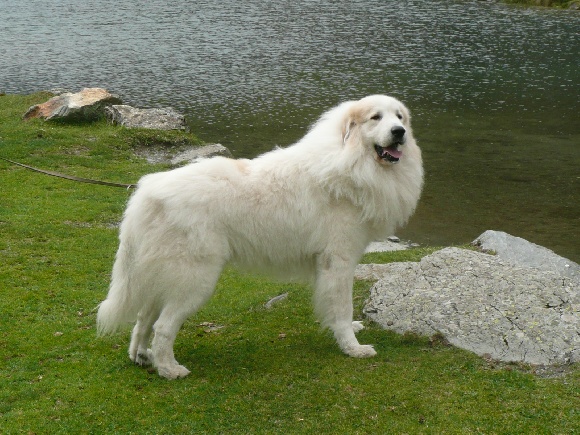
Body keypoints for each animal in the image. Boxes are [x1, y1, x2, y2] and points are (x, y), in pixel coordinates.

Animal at [96, 94, 422, 378]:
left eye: (399, 117)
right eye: (375, 117)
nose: (400, 132)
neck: (351, 162)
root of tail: (148, 191)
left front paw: (350, 333)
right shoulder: (338, 262)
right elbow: (341, 309)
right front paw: (353, 349)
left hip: (164, 273)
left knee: (143, 319)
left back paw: (142, 357)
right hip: (194, 279)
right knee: (163, 327)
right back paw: (169, 370)